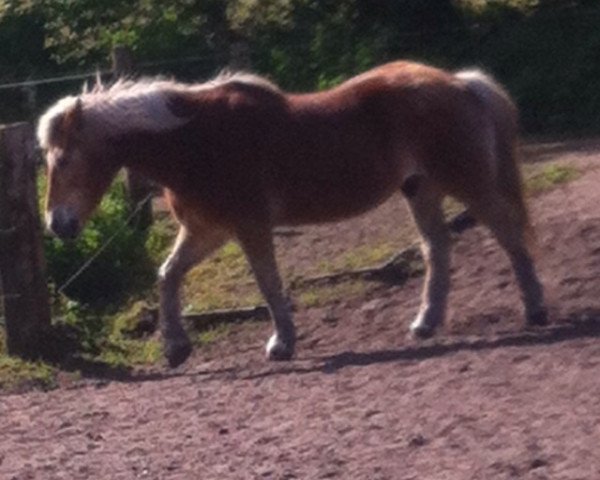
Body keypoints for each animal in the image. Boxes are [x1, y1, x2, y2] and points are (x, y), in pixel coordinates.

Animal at [35, 61, 548, 368]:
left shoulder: (247, 226)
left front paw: (281, 344)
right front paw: (177, 349)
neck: (194, 141)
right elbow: (168, 275)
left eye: (63, 159)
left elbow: (267, 282)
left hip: (468, 183)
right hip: (422, 190)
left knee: (508, 234)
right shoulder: (206, 229)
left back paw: (535, 310)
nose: (58, 224)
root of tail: (460, 83)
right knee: (438, 248)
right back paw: (425, 323)